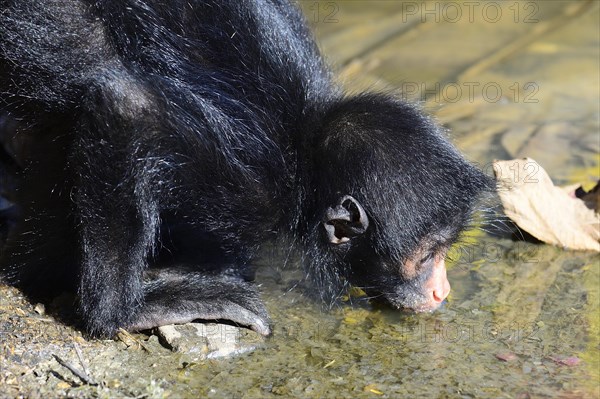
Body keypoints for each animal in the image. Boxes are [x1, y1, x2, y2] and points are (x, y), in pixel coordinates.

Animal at [0, 0, 492, 338]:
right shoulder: (252, 190)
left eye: (445, 250)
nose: (442, 290)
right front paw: (118, 315)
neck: (303, 159)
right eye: (426, 256)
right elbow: (125, 106)